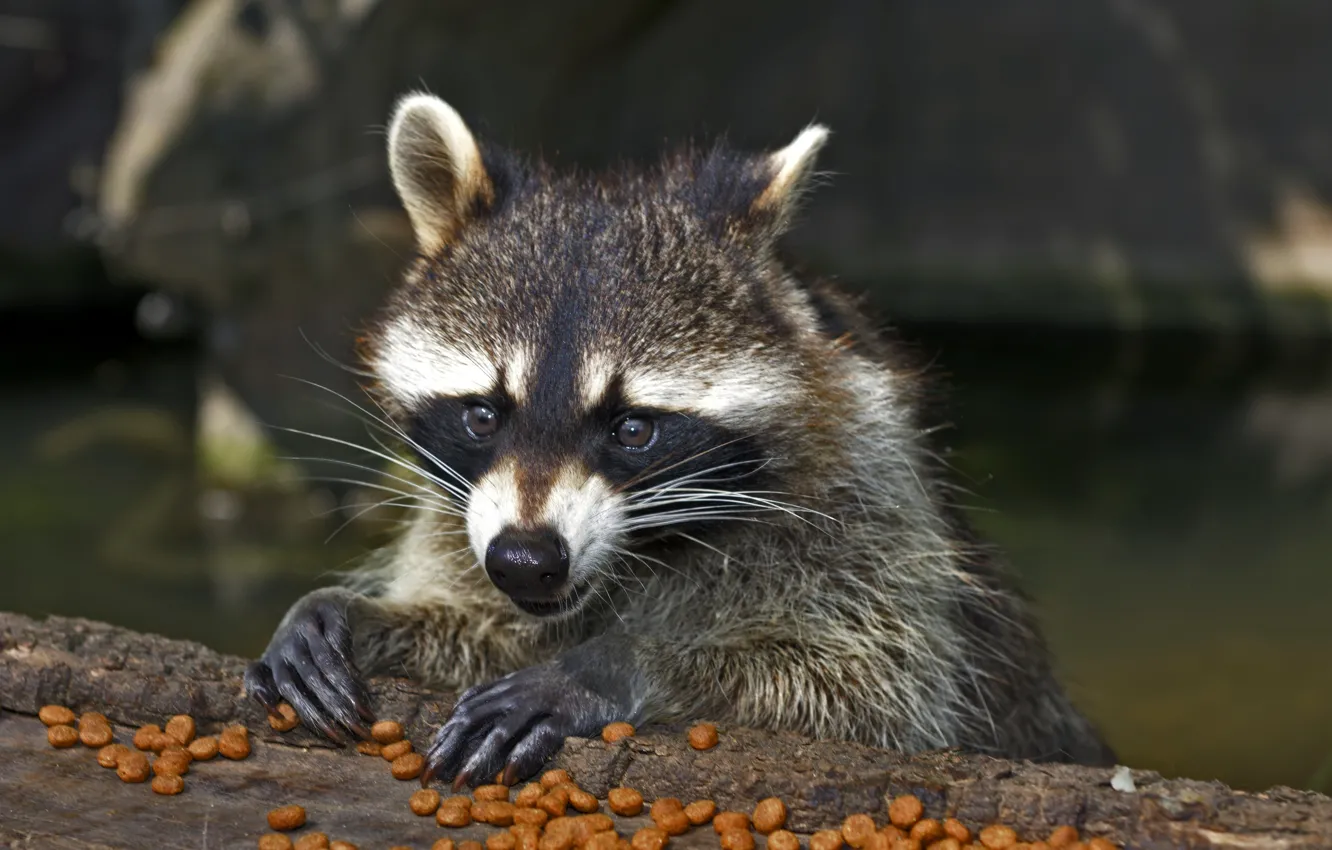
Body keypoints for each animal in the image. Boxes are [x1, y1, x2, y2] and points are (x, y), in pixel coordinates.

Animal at [244, 92, 1115, 786]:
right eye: (484, 415)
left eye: (634, 428)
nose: (526, 559)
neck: (640, 552)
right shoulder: (462, 524)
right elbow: (484, 621)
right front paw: (352, 611)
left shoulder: (868, 500)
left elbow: (868, 692)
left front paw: (617, 663)